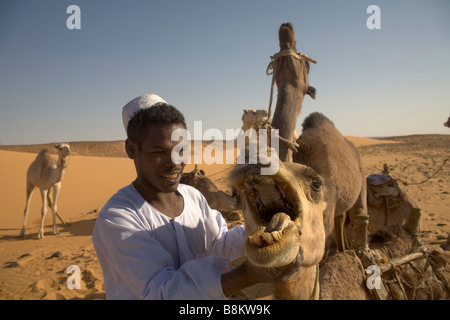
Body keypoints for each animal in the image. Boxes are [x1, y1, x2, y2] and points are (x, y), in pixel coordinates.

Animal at [230, 111, 368, 298]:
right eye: (238, 195)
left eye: (316, 183)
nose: (255, 151)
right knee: (340, 220)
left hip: (362, 179)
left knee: (359, 213)